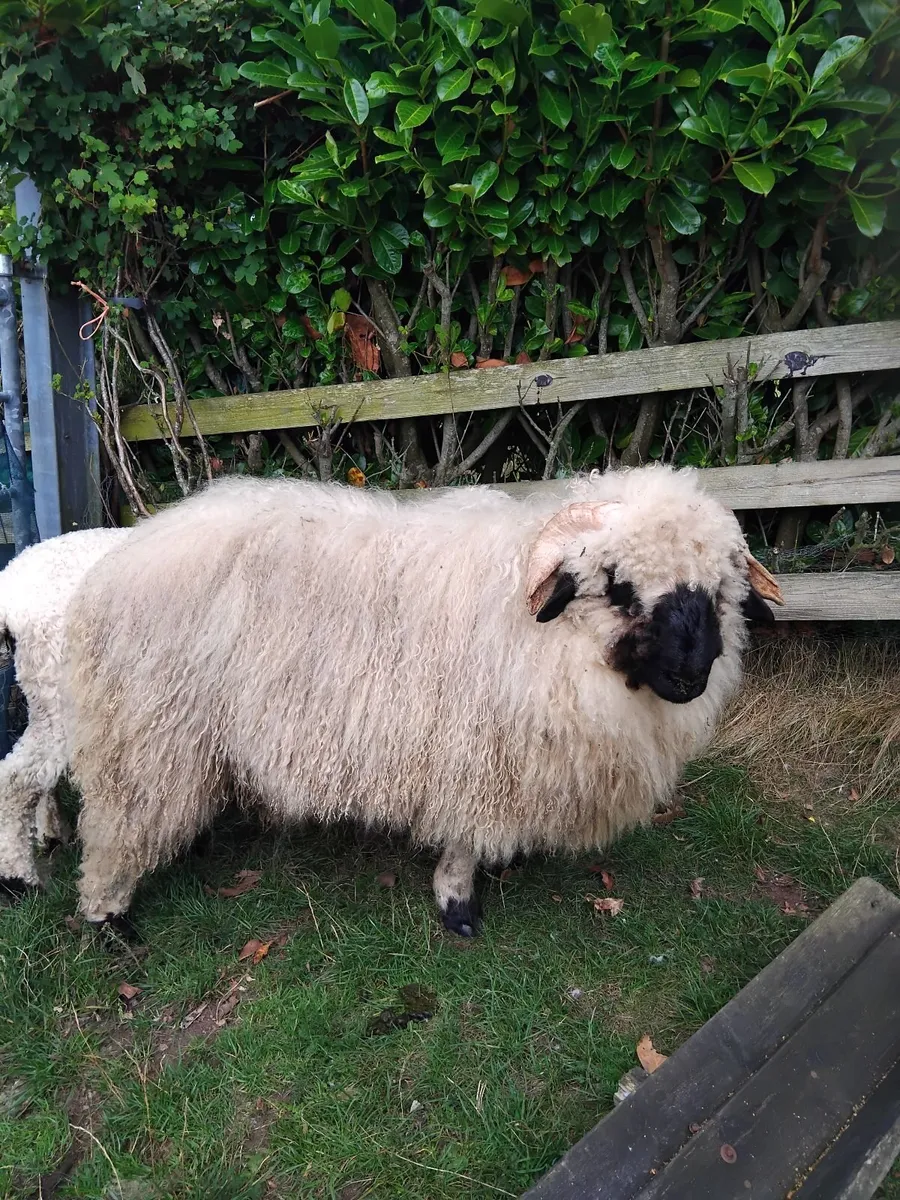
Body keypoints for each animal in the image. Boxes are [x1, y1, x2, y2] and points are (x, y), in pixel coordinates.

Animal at [62, 465, 783, 937]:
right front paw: (458, 903)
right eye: (618, 586)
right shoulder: (471, 757)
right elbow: (463, 840)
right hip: (145, 735)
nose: (691, 675)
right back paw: (109, 918)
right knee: (116, 829)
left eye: (719, 590)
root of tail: (122, 556)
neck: (545, 638)